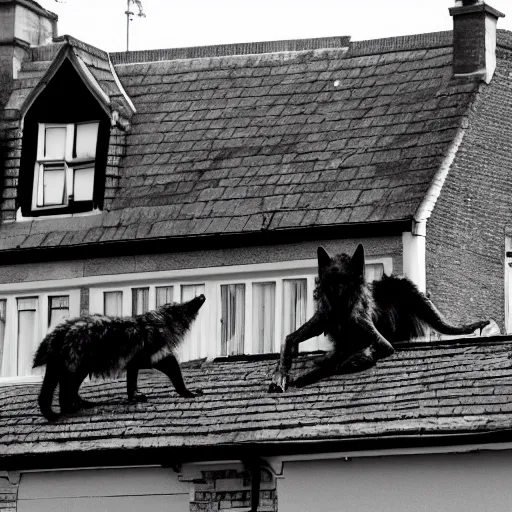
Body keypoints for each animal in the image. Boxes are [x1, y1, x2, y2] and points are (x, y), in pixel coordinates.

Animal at [32, 294, 206, 422]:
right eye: (187, 304)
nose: (201, 296)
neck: (159, 323)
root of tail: (58, 333)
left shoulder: (144, 360)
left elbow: (133, 383)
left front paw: (134, 397)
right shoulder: (155, 357)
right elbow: (174, 374)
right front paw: (188, 392)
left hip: (63, 367)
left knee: (53, 393)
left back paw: (69, 407)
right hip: (77, 366)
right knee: (65, 392)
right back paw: (69, 408)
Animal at [268, 244, 488, 392]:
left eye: (346, 281)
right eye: (330, 280)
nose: (336, 295)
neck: (341, 314)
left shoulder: (378, 339)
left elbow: (343, 360)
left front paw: (314, 370)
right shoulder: (323, 317)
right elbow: (289, 339)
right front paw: (281, 374)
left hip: (415, 298)